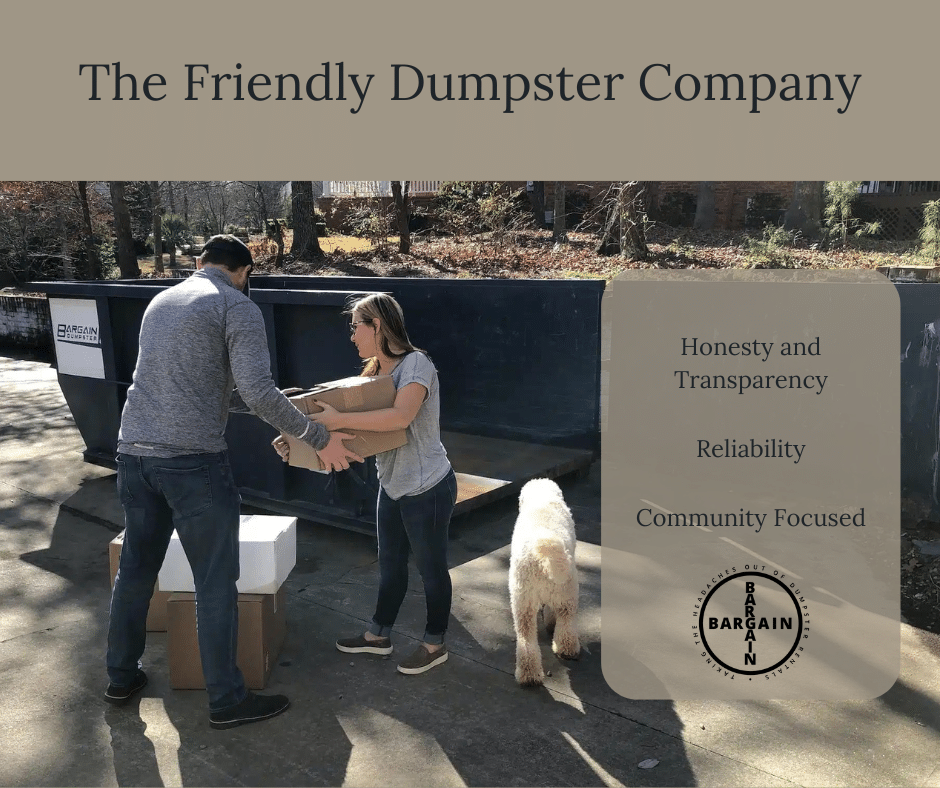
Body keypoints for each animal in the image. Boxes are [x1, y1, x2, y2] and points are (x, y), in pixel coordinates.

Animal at [506, 478, 580, 688]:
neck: (542, 498)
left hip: (522, 602)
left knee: (526, 640)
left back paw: (528, 675)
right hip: (567, 592)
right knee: (566, 621)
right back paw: (567, 648)